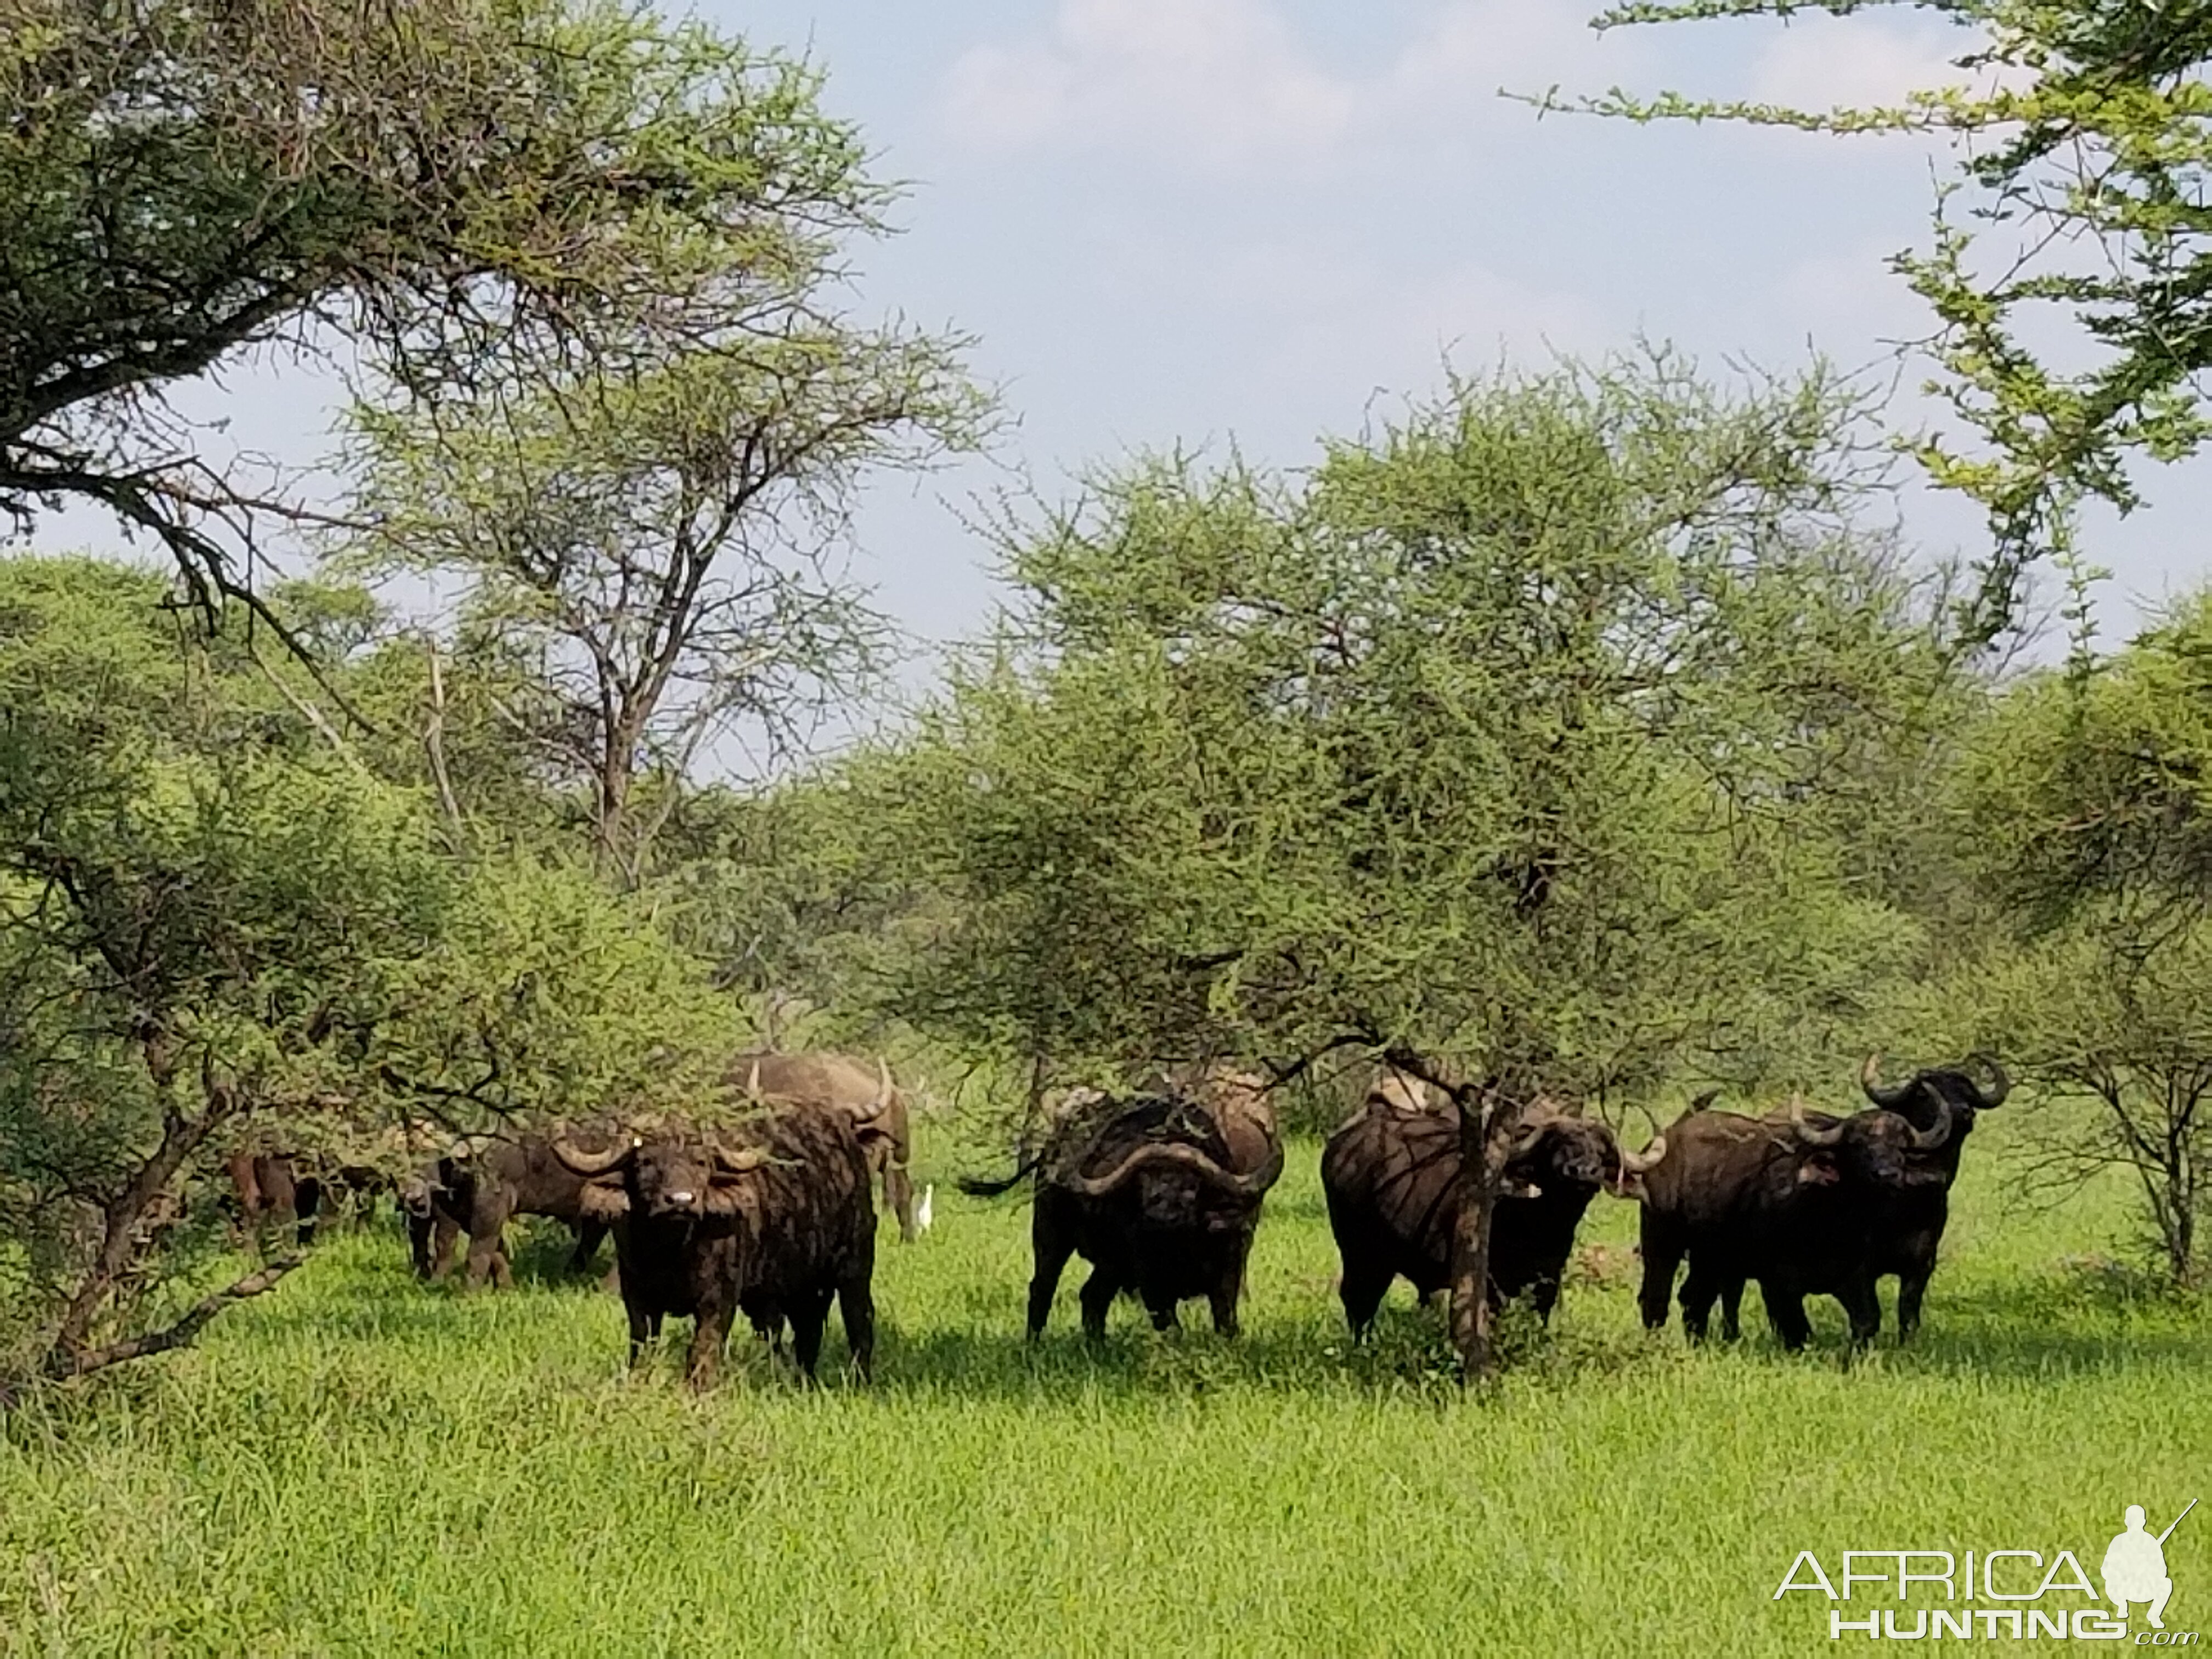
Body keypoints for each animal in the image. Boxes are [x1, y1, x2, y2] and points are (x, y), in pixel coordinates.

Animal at [553, 1110, 880, 1398]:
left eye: (701, 1162)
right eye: (646, 1162)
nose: (681, 1201)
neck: (671, 1253)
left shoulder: (718, 1299)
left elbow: (703, 1349)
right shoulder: (636, 1294)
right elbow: (643, 1342)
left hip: (855, 1267)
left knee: (859, 1322)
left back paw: (860, 1380)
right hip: (800, 1288)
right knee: (806, 1330)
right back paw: (803, 1380)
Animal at [960, 1084, 1291, 1345]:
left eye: (1192, 1186)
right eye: (1143, 1184)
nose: (1161, 1218)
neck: (1181, 1248)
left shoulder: (1228, 1271)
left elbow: (1226, 1322)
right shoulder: (1153, 1284)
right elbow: (1172, 1328)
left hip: (1111, 1263)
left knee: (1092, 1297)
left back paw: (1097, 1347)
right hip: (1050, 1234)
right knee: (1042, 1288)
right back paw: (1034, 1343)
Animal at [1309, 1092, 1663, 1336]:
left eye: (1600, 1152)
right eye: (1556, 1145)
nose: (1581, 1172)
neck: (1541, 1223)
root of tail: (1340, 1147)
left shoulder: (1547, 1283)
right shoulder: (1493, 1286)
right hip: (1362, 1254)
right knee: (1358, 1300)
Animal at [1637, 1097, 1964, 1353]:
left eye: (1901, 1147)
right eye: (1857, 1145)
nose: (1888, 1175)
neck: (1828, 1219)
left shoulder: (1854, 1274)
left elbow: (1866, 1321)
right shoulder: (1778, 1279)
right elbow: (1796, 1328)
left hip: (1711, 1259)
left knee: (1694, 1298)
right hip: (1661, 1244)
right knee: (1656, 1299)